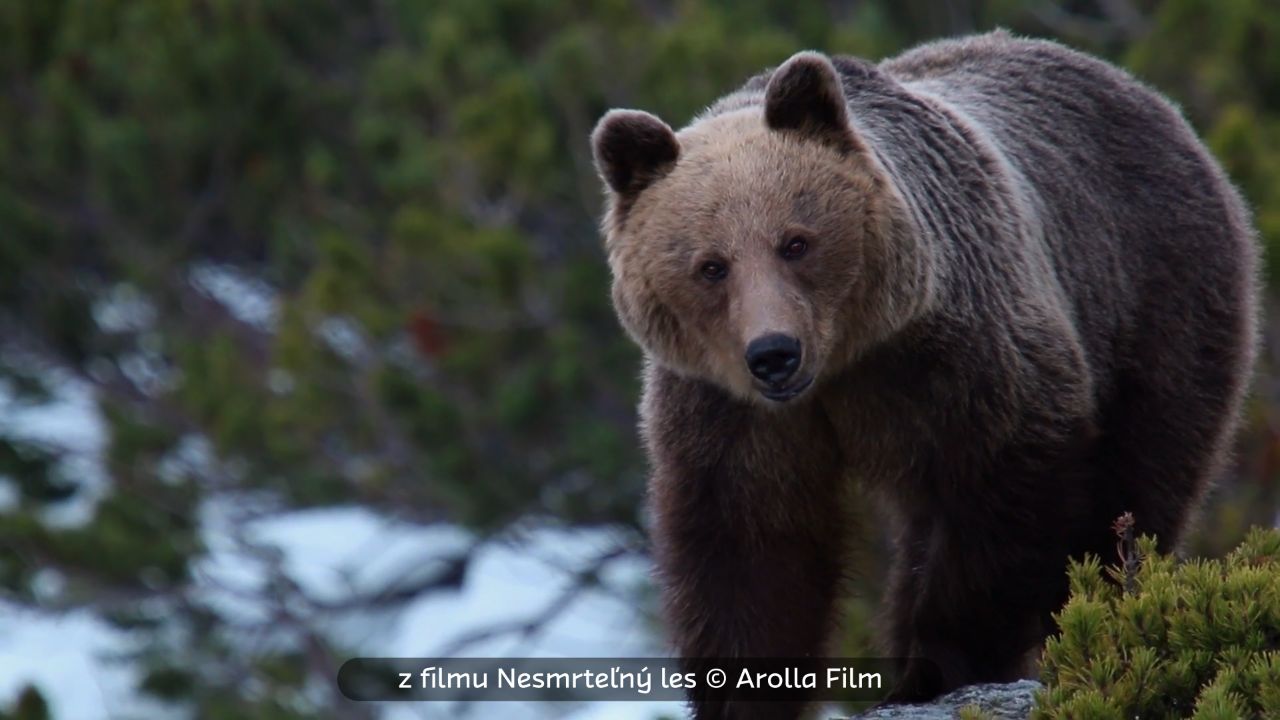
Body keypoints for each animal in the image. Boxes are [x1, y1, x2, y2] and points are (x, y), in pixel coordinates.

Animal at [586, 30, 1259, 712]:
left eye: (796, 242)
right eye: (711, 266)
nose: (774, 353)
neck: (846, 361)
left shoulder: (962, 357)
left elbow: (1004, 504)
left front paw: (936, 664)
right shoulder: (729, 413)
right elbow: (751, 548)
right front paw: (748, 693)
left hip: (1155, 294)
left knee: (1139, 478)